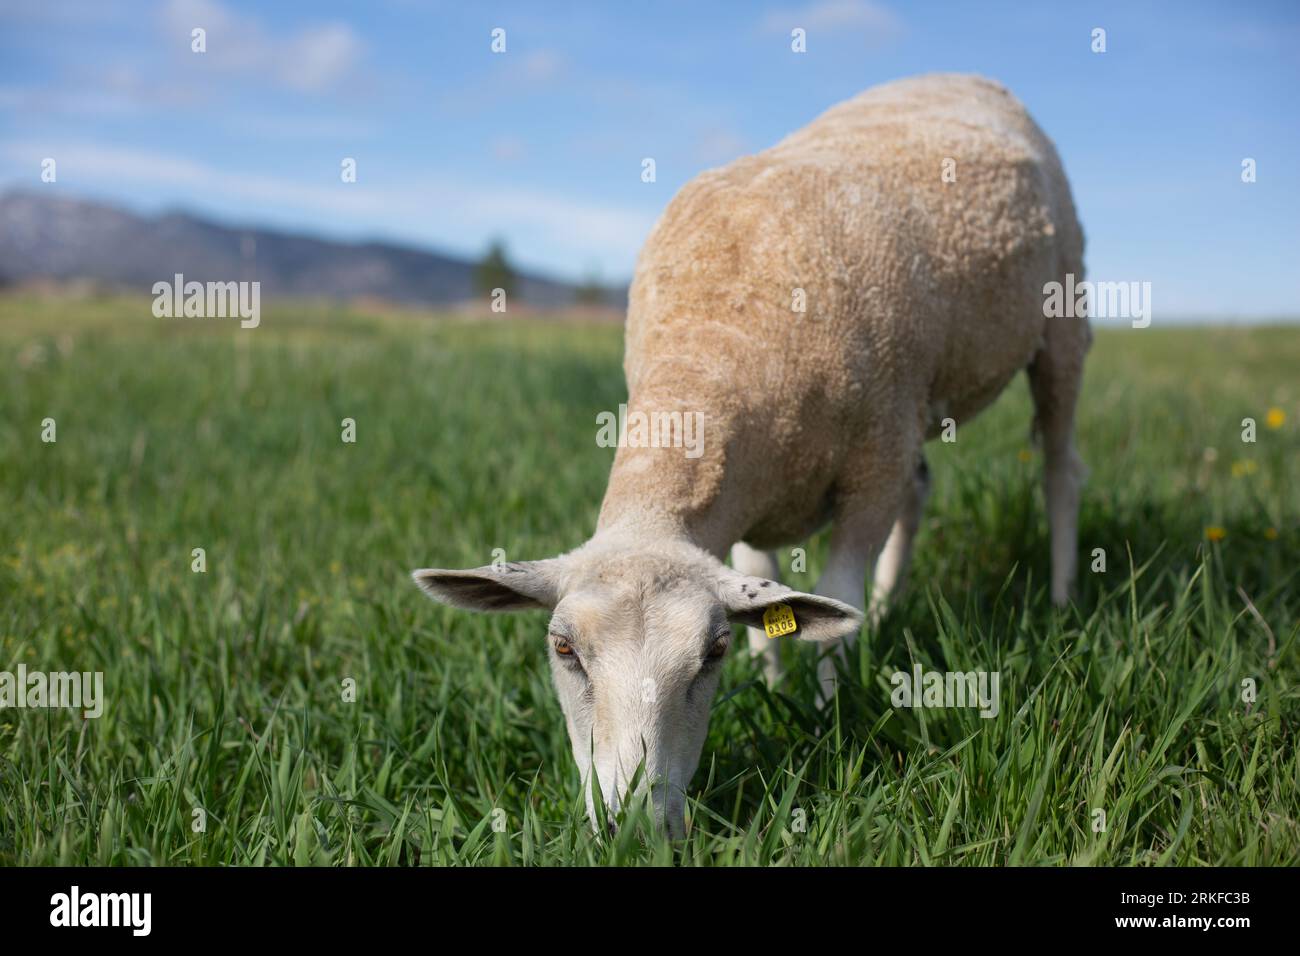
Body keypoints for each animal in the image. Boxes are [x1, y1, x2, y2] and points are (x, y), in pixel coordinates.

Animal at [414, 73, 1090, 836]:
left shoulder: (872, 465)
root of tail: (958, 78)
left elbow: (832, 620)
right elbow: (770, 608)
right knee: (923, 490)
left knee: (1060, 468)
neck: (714, 343)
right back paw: (890, 609)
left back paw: (1062, 598)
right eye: (564, 650)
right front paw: (774, 686)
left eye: (711, 654)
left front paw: (827, 725)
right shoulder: (748, 502)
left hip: (1063, 312)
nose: (633, 829)